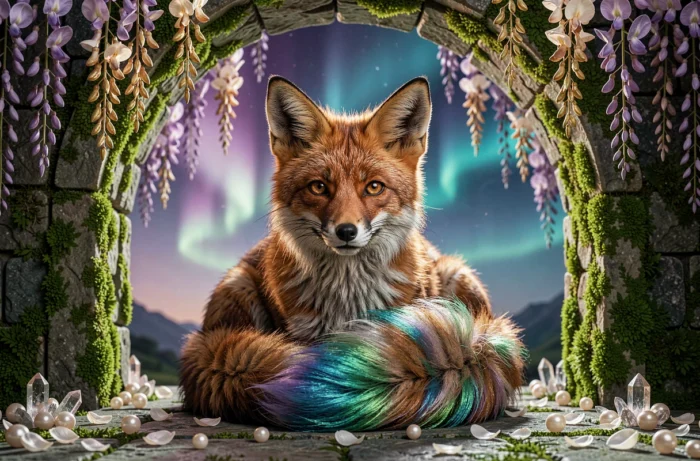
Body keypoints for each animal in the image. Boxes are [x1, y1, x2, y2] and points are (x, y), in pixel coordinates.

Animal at [180, 76, 525, 431]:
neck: (348, 299)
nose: (346, 231)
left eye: (374, 187)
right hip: (238, 287)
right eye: (319, 187)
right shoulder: (305, 338)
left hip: (460, 277)